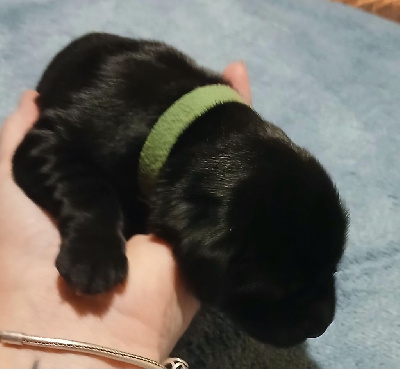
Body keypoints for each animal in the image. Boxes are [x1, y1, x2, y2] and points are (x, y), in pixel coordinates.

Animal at [12, 33, 346, 346]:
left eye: (332, 268)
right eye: (282, 289)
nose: (323, 325)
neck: (188, 127)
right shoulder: (48, 141)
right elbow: (89, 187)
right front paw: (95, 259)